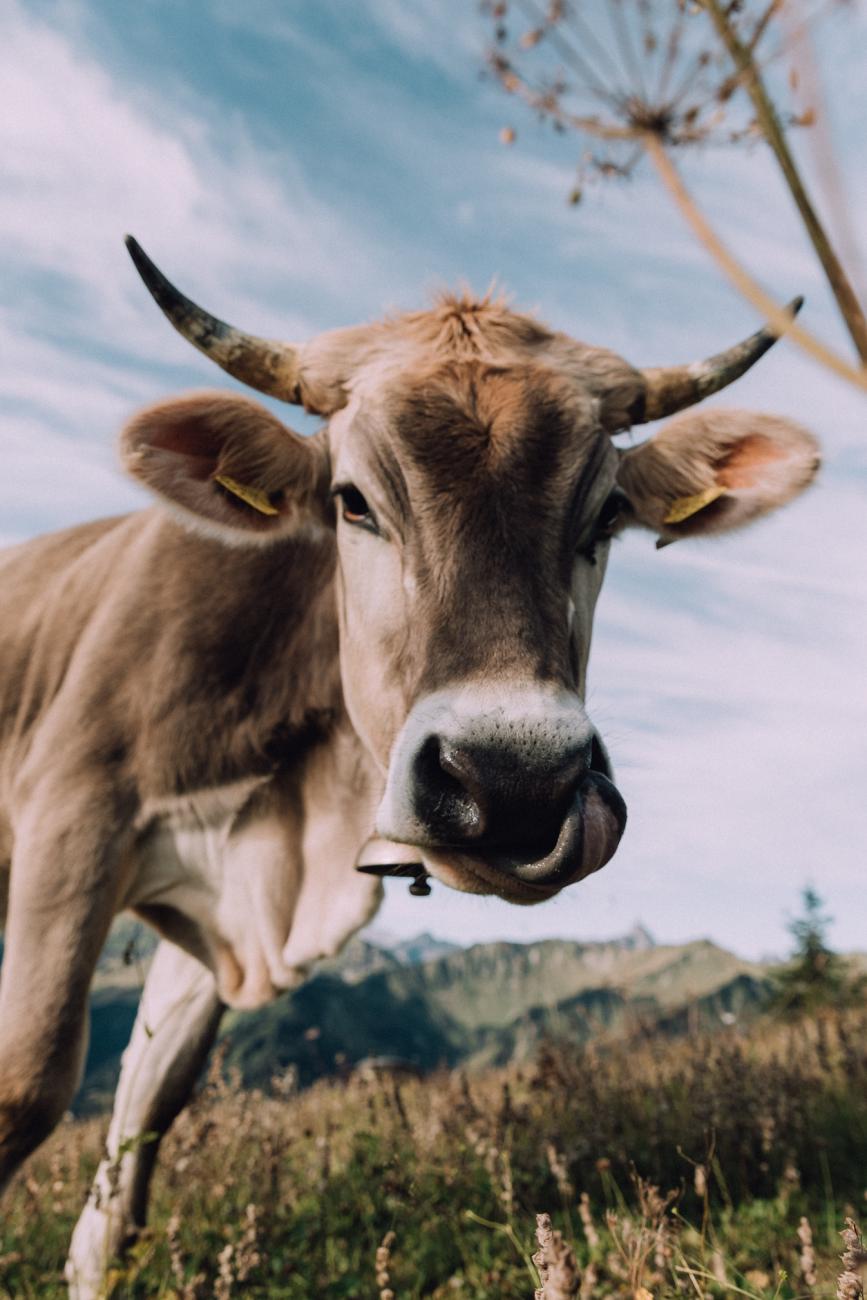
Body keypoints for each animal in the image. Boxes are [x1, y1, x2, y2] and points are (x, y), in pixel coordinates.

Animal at [0, 237, 819, 1296]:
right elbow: (29, 1081)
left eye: (605, 515)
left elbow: (142, 1126)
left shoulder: (214, 906)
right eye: (351, 501)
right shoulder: (76, 807)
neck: (296, 813)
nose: (514, 782)